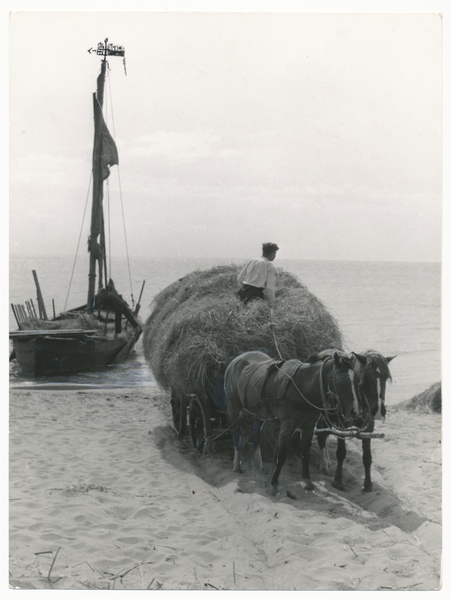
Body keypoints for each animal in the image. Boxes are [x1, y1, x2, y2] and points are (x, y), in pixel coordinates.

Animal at [224, 350, 366, 494]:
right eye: (342, 382)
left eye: (357, 381)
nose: (355, 411)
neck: (302, 386)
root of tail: (237, 359)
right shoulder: (287, 425)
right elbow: (281, 456)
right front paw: (273, 484)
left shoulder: (309, 426)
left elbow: (305, 453)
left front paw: (308, 481)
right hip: (233, 408)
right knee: (236, 433)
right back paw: (236, 464)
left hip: (258, 414)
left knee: (256, 435)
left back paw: (259, 464)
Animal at [312, 352, 398, 492]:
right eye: (366, 378)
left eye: (386, 378)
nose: (379, 411)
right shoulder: (341, 426)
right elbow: (341, 452)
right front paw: (338, 481)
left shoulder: (368, 428)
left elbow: (367, 457)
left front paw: (368, 485)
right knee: (321, 437)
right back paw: (323, 463)